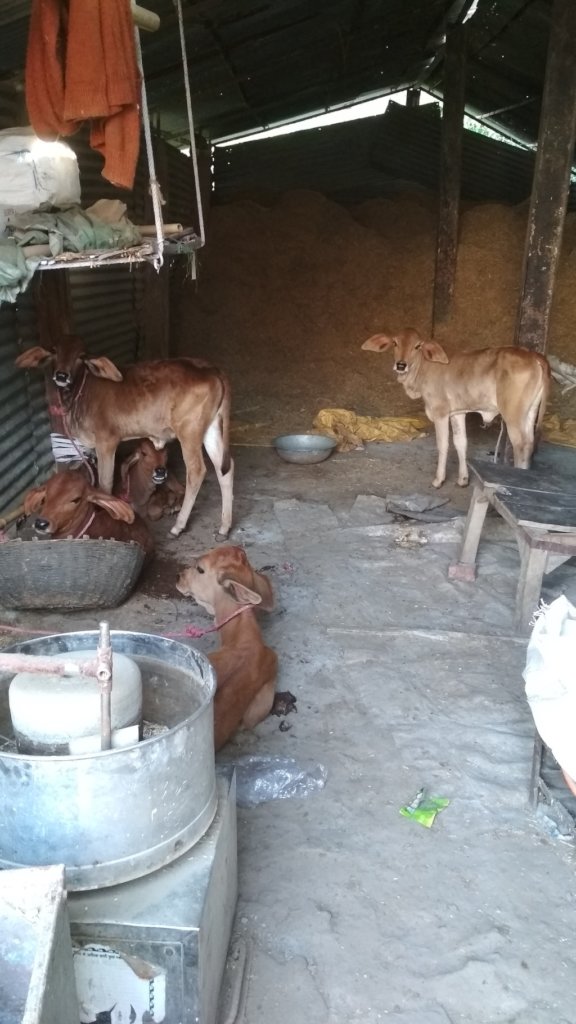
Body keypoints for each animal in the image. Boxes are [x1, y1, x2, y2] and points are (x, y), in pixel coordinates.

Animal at [15, 335, 233, 538]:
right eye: (54, 352)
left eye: (81, 356)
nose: (62, 375)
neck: (81, 395)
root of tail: (211, 368)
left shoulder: (107, 441)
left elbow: (104, 483)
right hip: (211, 429)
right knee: (225, 468)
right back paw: (225, 526)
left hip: (189, 431)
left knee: (196, 471)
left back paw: (178, 526)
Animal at [361, 328, 551, 488]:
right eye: (395, 343)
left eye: (418, 346)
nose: (401, 365)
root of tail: (533, 355)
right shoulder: (457, 413)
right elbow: (461, 443)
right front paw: (463, 479)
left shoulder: (440, 412)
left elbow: (443, 444)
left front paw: (438, 480)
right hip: (530, 412)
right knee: (529, 444)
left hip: (513, 415)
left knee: (521, 445)